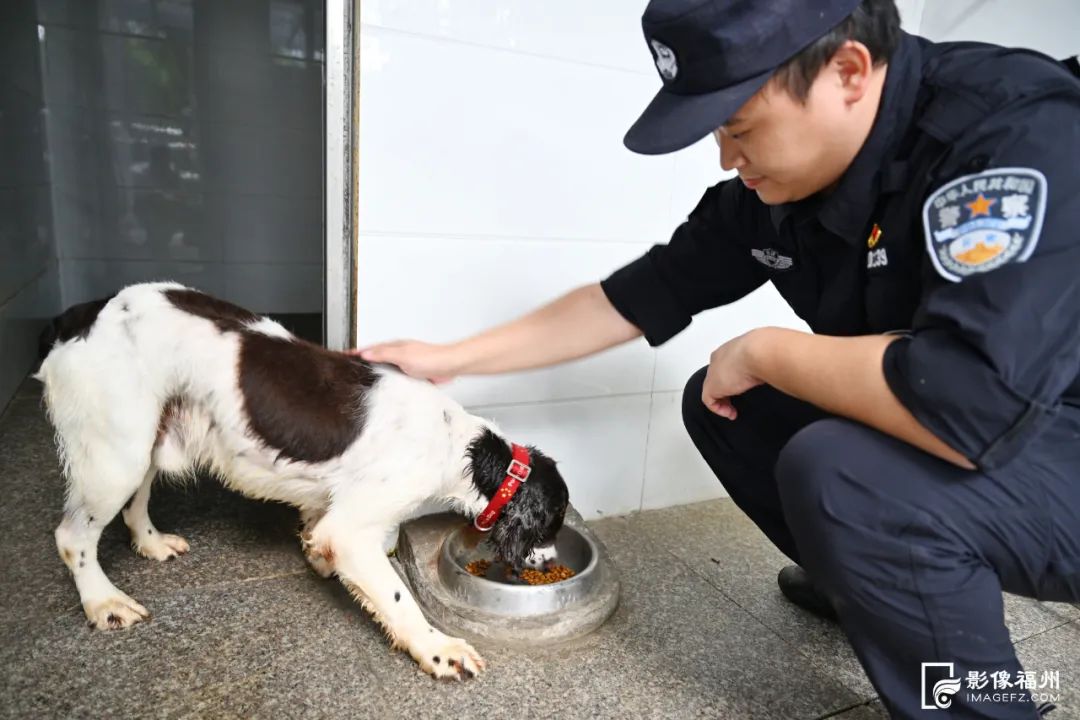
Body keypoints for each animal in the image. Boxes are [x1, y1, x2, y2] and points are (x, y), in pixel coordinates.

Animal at [36, 280, 570, 682]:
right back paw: (104, 602)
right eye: (551, 526)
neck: (459, 445)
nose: (550, 563)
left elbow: (323, 529)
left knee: (135, 502)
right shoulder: (353, 528)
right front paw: (439, 650)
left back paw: (151, 543)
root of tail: (84, 314)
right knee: (72, 537)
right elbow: (398, 596)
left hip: (145, 437)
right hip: (116, 452)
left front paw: (317, 558)